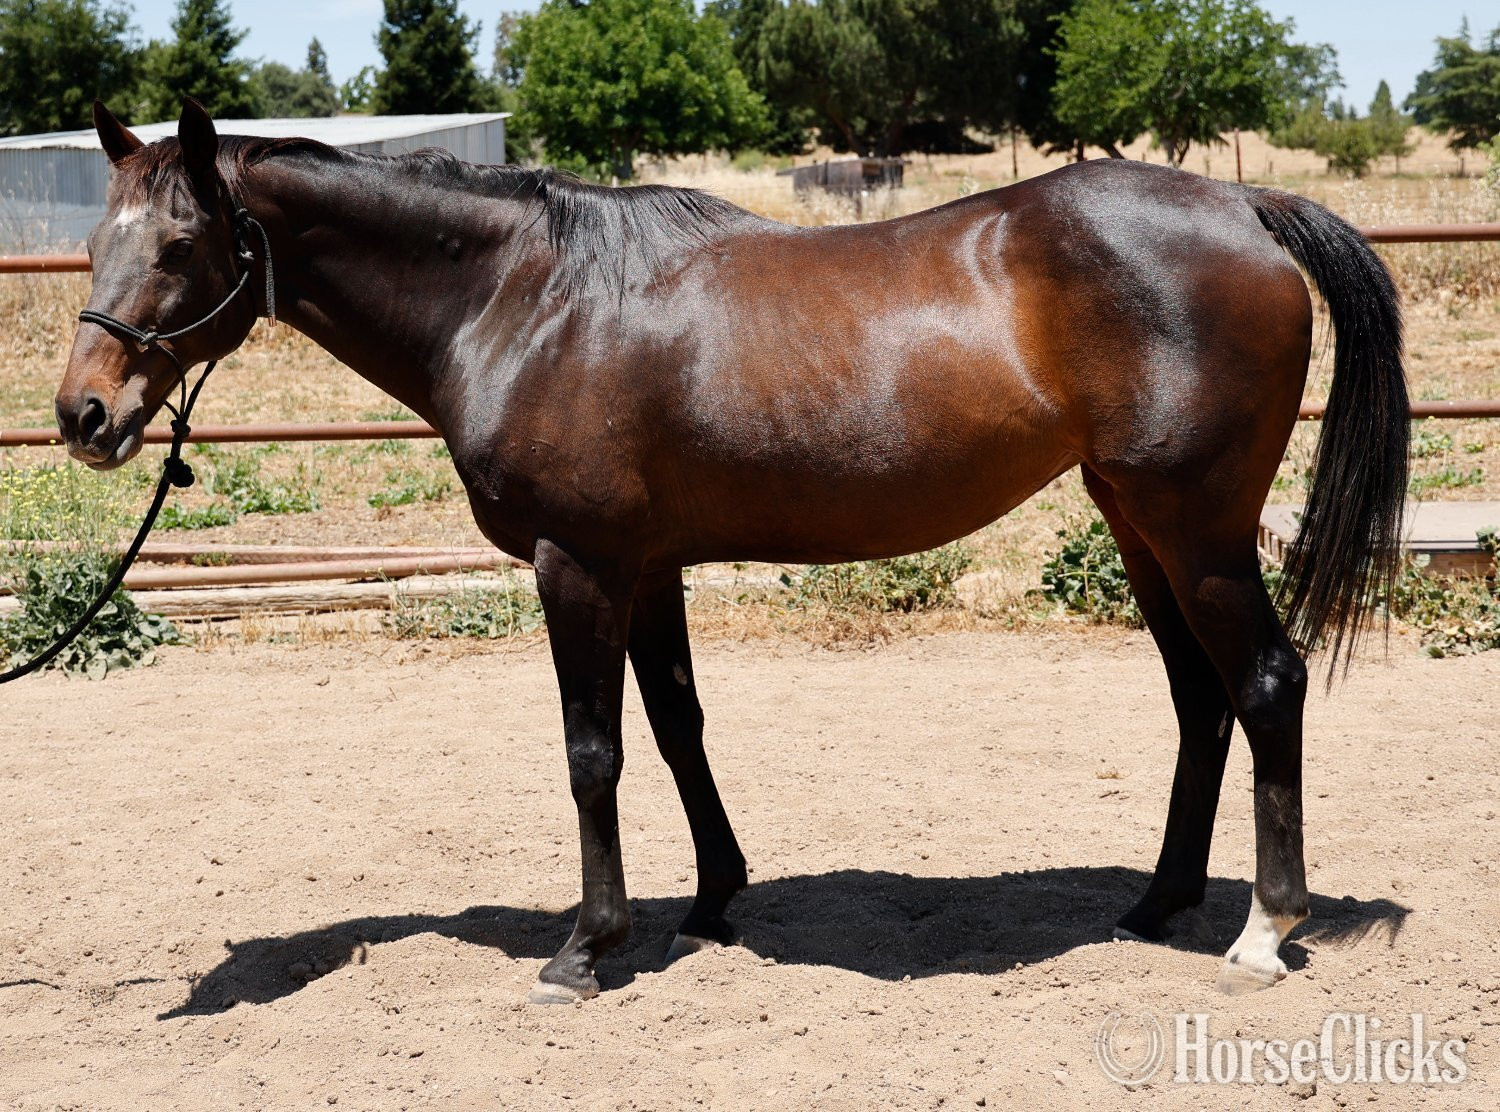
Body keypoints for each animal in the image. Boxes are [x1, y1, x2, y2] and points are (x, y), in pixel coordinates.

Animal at [54, 100, 1408, 1004]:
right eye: (97, 243)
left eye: (180, 247)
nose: (84, 415)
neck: (524, 297)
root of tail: (1245, 205)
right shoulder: (648, 567)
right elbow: (677, 727)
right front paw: (708, 904)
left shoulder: (576, 563)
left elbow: (593, 751)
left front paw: (584, 946)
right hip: (1136, 522)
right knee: (1199, 698)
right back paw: (1155, 903)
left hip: (1197, 526)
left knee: (1265, 683)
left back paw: (1261, 929)